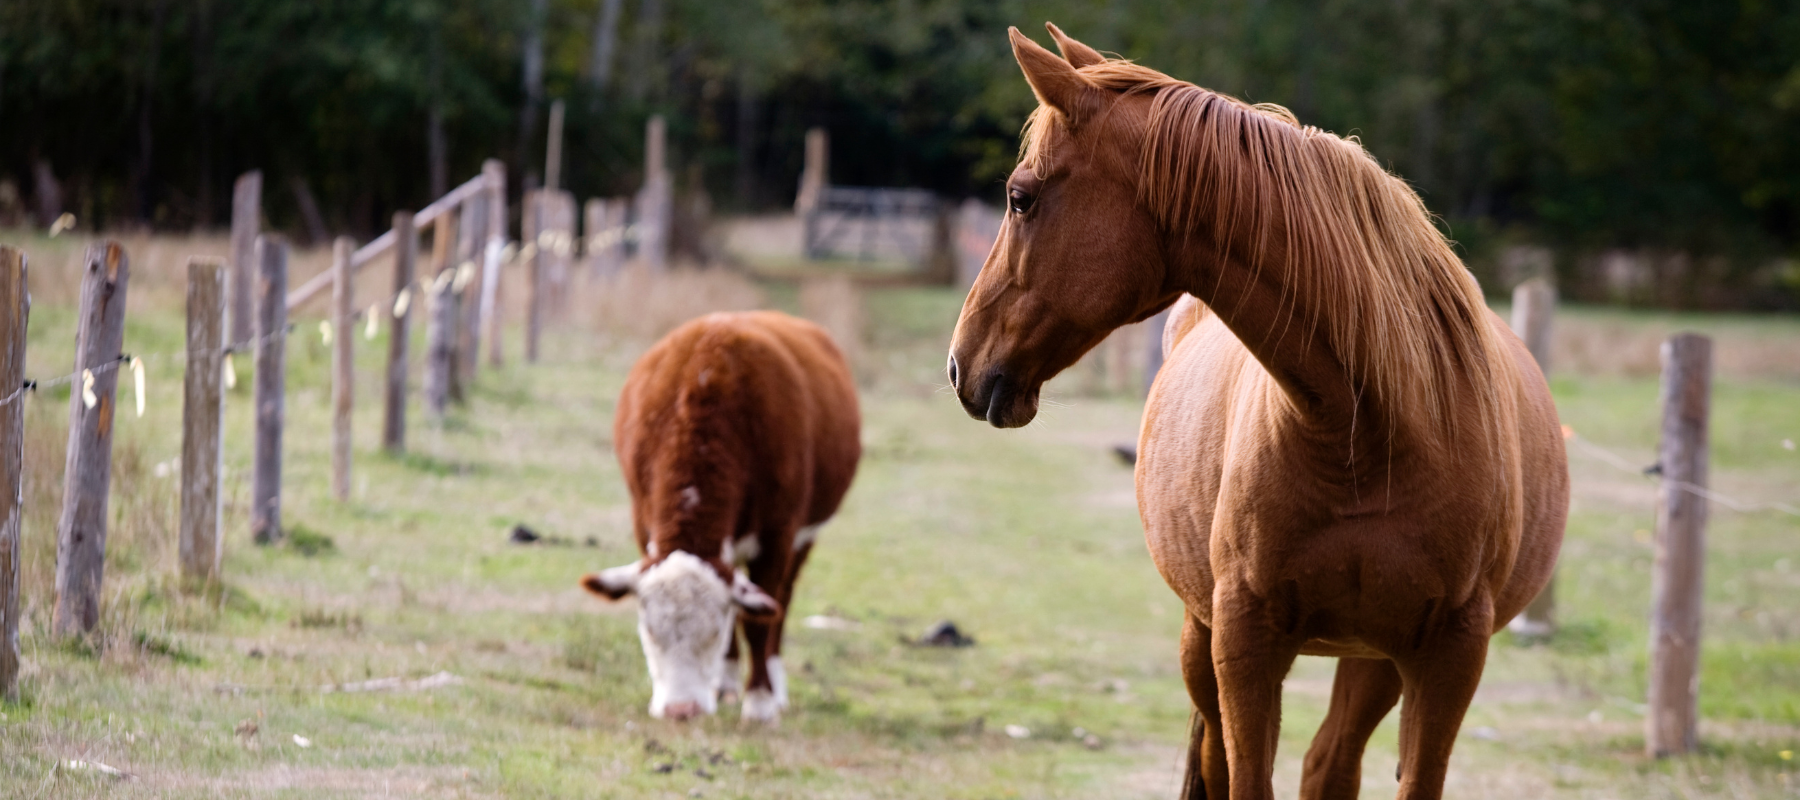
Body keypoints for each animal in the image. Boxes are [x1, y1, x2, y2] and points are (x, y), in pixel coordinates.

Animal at [582, 310, 861, 724]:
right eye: (650, 630)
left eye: (712, 630)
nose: (681, 709)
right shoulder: (643, 523)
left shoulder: (778, 536)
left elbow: (756, 622)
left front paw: (760, 700)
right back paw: (726, 681)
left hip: (804, 536)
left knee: (781, 603)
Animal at [947, 24, 1568, 800]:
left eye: (1020, 198)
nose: (960, 364)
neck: (1371, 432)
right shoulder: (1245, 640)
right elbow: (1243, 773)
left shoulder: (1451, 653)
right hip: (1205, 633)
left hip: (1373, 657)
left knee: (1330, 762)